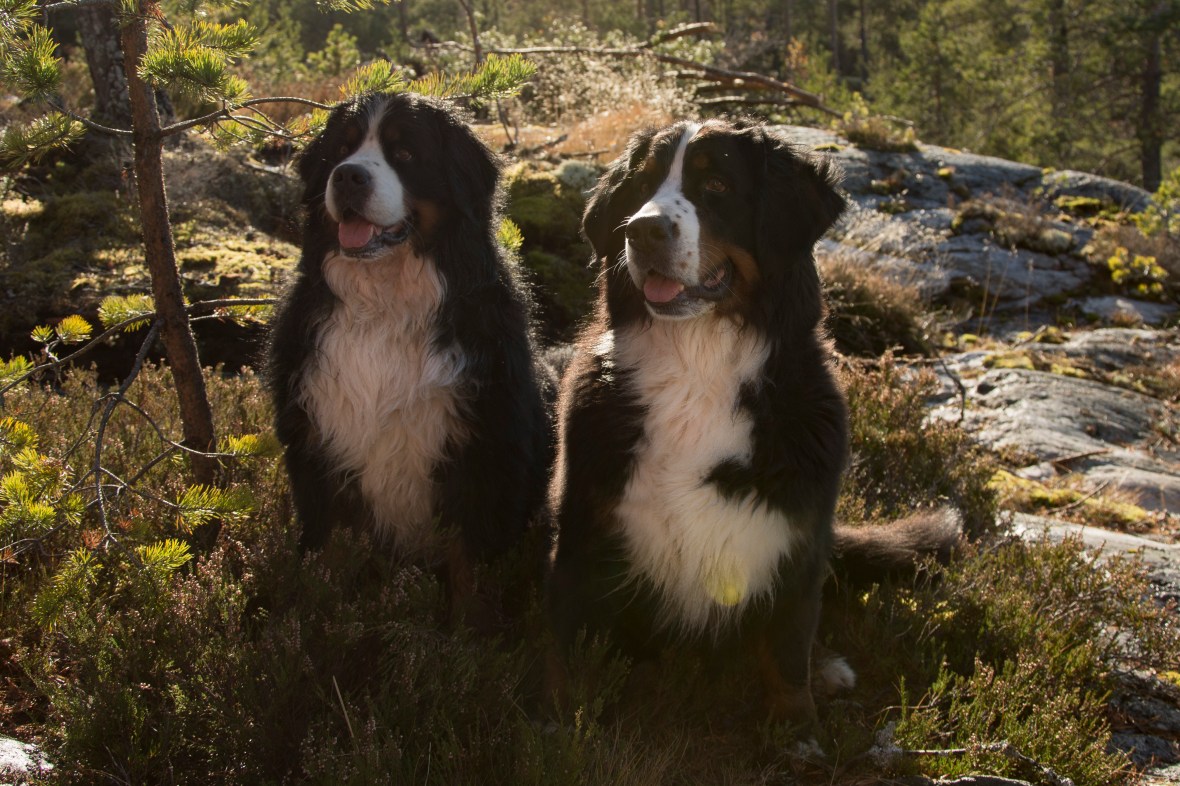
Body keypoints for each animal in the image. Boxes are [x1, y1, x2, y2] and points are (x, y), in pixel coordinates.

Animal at [267, 93, 549, 608]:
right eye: (341, 150)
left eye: (404, 154)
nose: (348, 176)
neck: (385, 307)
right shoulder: (317, 452)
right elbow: (325, 561)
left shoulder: (482, 455)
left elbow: (468, 576)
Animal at [546, 119, 958, 738]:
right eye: (640, 186)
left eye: (716, 185)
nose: (641, 230)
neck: (698, 368)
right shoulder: (583, 525)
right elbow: (569, 645)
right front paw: (560, 721)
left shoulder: (799, 535)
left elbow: (787, 651)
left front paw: (797, 735)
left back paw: (827, 668)